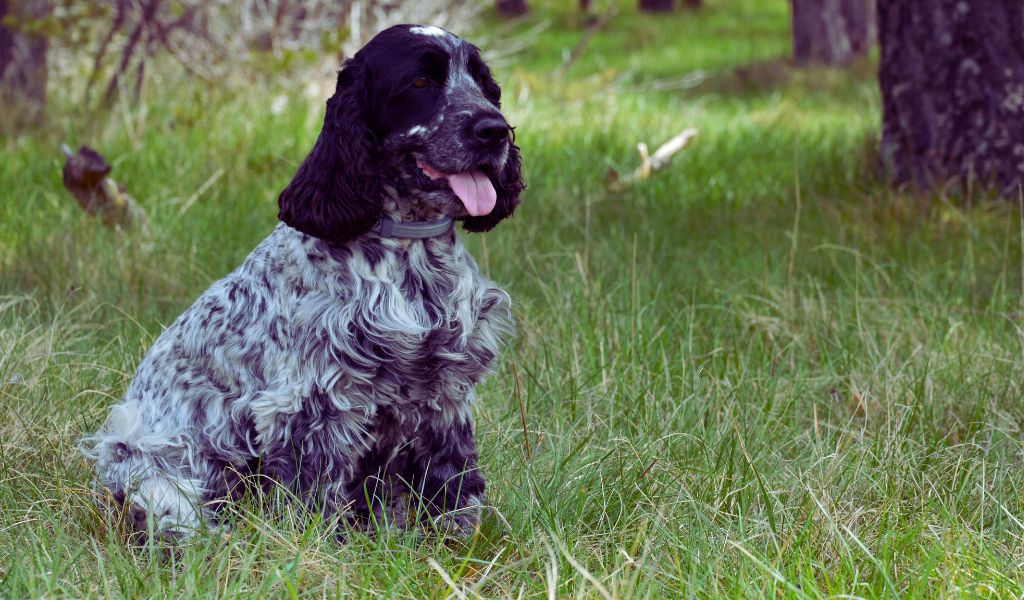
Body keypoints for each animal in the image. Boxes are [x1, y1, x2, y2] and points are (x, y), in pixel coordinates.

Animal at [83, 22, 524, 536]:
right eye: (421, 82)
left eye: (486, 85)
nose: (495, 129)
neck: (409, 250)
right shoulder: (311, 401)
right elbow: (315, 490)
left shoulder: (445, 388)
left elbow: (453, 478)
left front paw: (459, 540)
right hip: (160, 472)